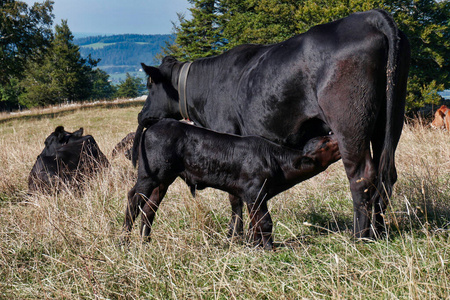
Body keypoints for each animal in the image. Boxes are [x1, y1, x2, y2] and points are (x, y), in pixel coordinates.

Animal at [123, 118, 342, 250]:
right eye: (324, 142)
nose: (335, 133)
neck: (276, 161)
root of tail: (156, 124)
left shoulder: (252, 197)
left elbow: (255, 223)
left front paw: (256, 246)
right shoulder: (255, 192)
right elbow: (265, 222)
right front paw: (269, 249)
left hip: (163, 180)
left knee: (149, 208)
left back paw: (145, 242)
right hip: (149, 175)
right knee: (133, 199)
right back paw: (123, 242)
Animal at [134, 9, 412, 239]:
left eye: (149, 84)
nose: (141, 115)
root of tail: (372, 17)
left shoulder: (227, 136)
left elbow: (233, 196)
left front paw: (234, 236)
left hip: (349, 122)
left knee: (362, 176)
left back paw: (360, 237)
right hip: (390, 117)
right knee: (386, 175)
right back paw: (379, 232)